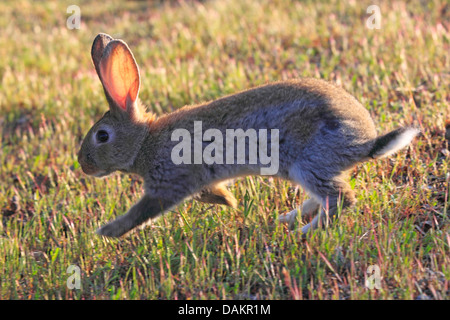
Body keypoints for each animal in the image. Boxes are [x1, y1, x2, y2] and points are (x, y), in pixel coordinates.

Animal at [77, 33, 418, 238]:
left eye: (102, 136)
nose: (83, 165)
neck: (144, 141)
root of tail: (364, 143)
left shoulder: (169, 183)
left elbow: (142, 212)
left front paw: (106, 232)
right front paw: (229, 201)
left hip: (308, 162)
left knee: (340, 200)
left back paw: (300, 233)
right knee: (323, 197)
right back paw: (287, 220)